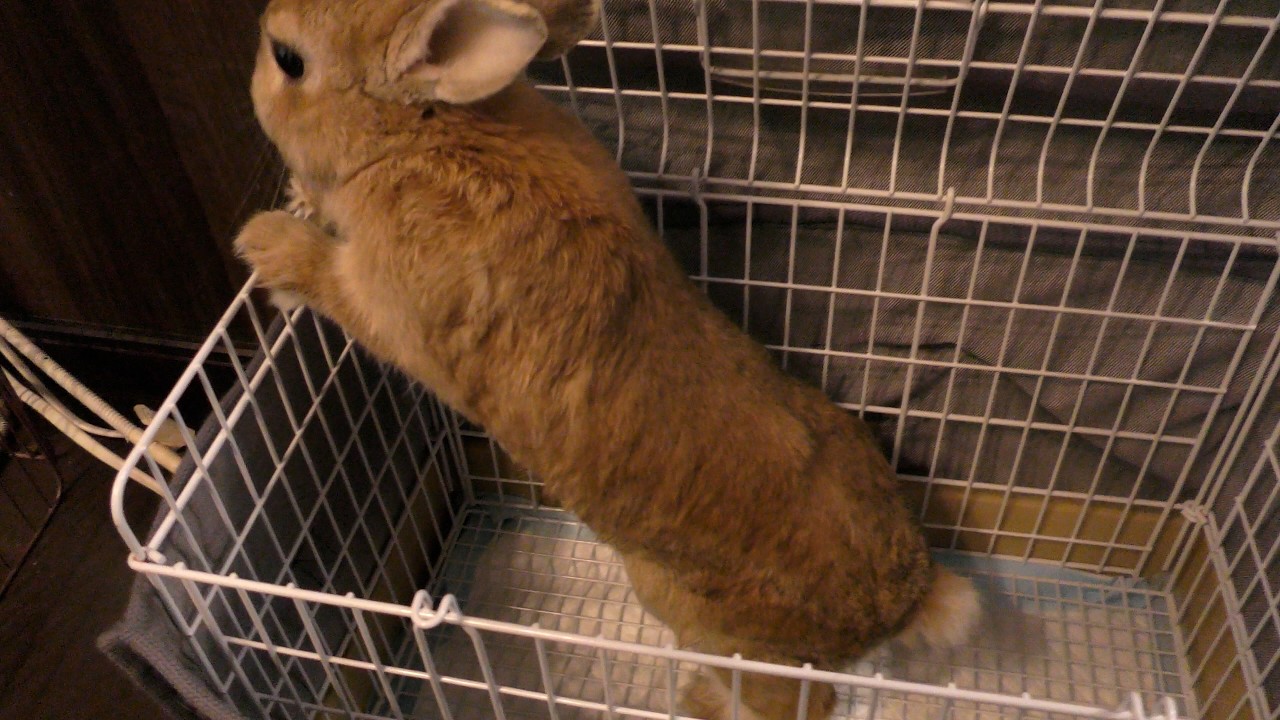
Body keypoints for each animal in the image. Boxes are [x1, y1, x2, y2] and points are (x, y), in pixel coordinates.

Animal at [232, 0, 981, 717]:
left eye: (289, 59)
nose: (259, 37)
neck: (423, 132)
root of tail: (903, 599)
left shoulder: (387, 301)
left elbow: (331, 283)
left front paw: (266, 240)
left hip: (715, 632)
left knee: (796, 703)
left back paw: (701, 701)